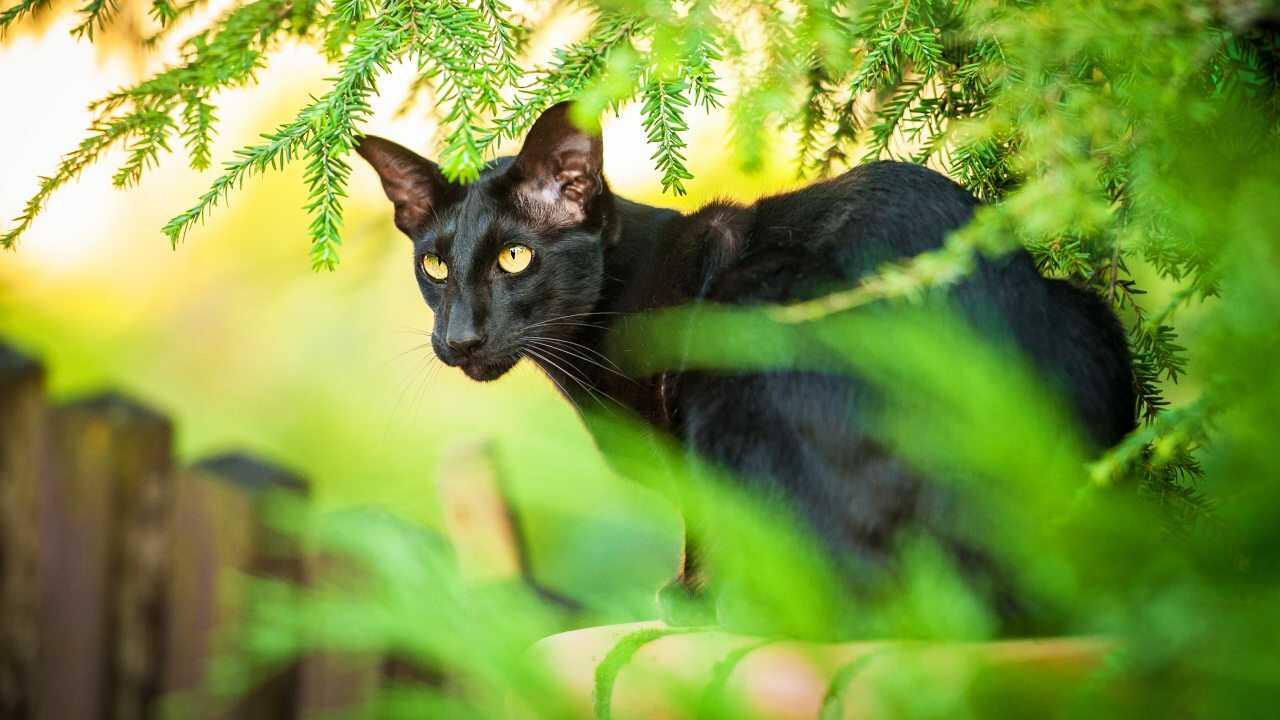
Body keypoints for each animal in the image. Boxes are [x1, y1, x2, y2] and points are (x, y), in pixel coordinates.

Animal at [355, 101, 1136, 627]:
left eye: (515, 257)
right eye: (433, 265)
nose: (459, 338)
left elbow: (709, 518)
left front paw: (695, 596)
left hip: (745, 320)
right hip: (1089, 313)